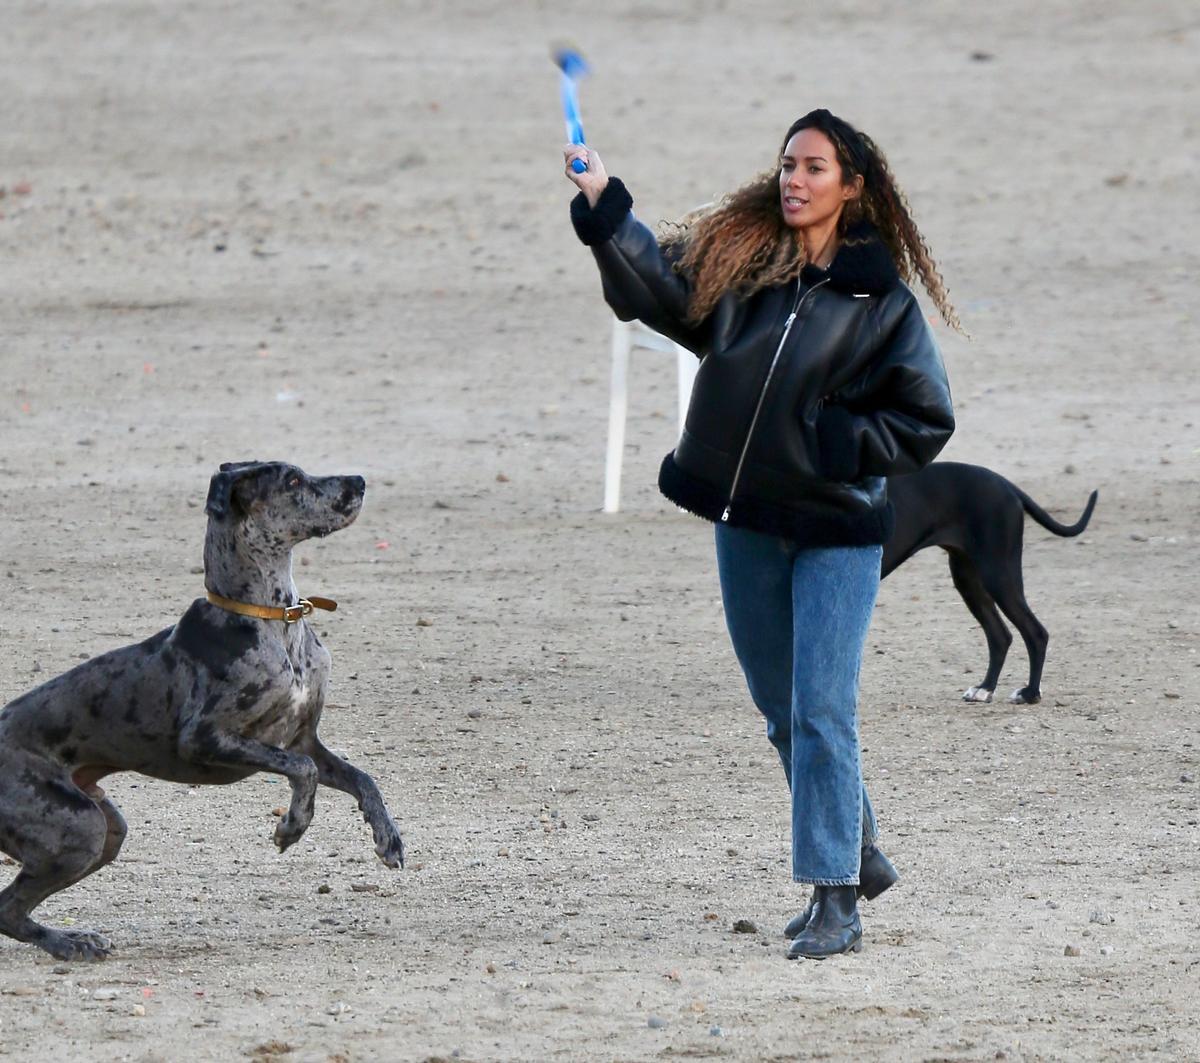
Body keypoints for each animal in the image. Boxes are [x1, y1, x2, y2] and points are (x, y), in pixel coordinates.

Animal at [0, 463, 405, 959]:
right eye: (291, 481)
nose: (360, 480)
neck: (271, 621)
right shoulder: (205, 740)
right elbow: (302, 770)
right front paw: (291, 826)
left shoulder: (305, 739)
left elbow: (361, 778)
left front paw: (388, 838)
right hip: (79, 828)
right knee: (7, 908)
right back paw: (66, 942)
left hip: (105, 828)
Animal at [883, 463, 1099, 705]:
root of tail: (1006, 484)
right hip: (969, 579)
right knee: (1000, 636)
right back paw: (985, 688)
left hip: (998, 574)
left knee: (1036, 633)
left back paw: (1030, 693)